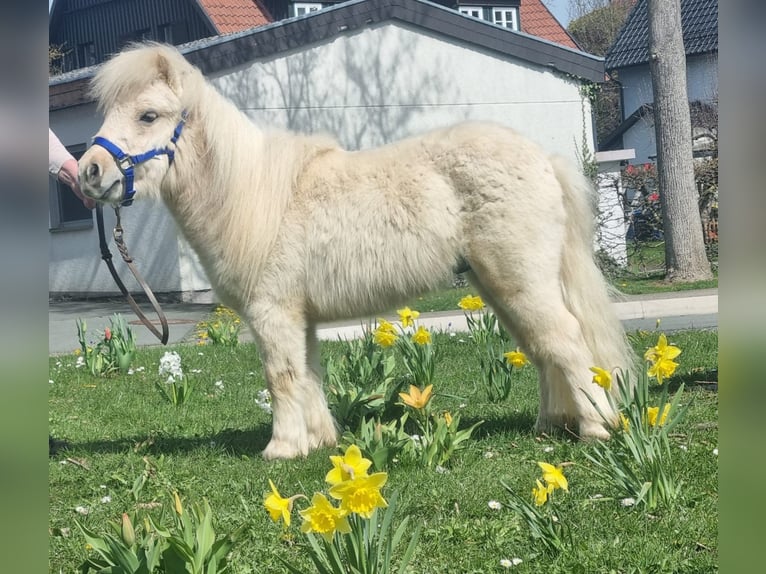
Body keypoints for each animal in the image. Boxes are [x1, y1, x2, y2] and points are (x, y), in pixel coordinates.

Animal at [78, 42, 635, 460]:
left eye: (149, 115)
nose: (89, 173)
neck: (251, 192)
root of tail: (542, 158)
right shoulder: (299, 317)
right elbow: (308, 375)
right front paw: (319, 441)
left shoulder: (272, 312)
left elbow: (281, 377)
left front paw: (281, 449)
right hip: (499, 286)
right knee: (542, 349)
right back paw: (550, 425)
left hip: (520, 281)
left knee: (565, 342)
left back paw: (595, 428)